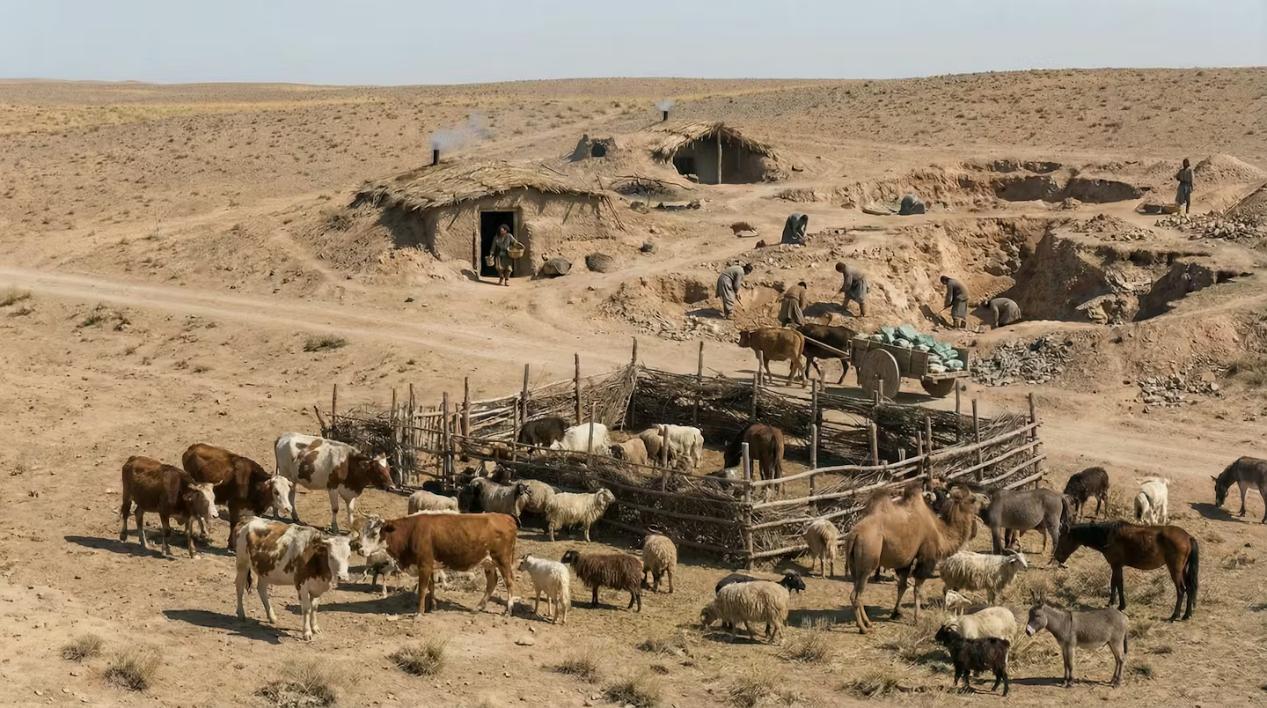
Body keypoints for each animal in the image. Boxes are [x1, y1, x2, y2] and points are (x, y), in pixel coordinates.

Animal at [1053, 521, 1198, 621]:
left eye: (1062, 539)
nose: (1057, 557)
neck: (1108, 535)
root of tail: (1188, 537)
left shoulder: (1117, 565)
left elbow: (1118, 584)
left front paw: (1120, 606)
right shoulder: (1116, 566)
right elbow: (1114, 583)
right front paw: (1111, 603)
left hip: (1175, 570)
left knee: (1181, 590)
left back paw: (1174, 616)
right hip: (1183, 570)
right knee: (1190, 588)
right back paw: (1187, 615)